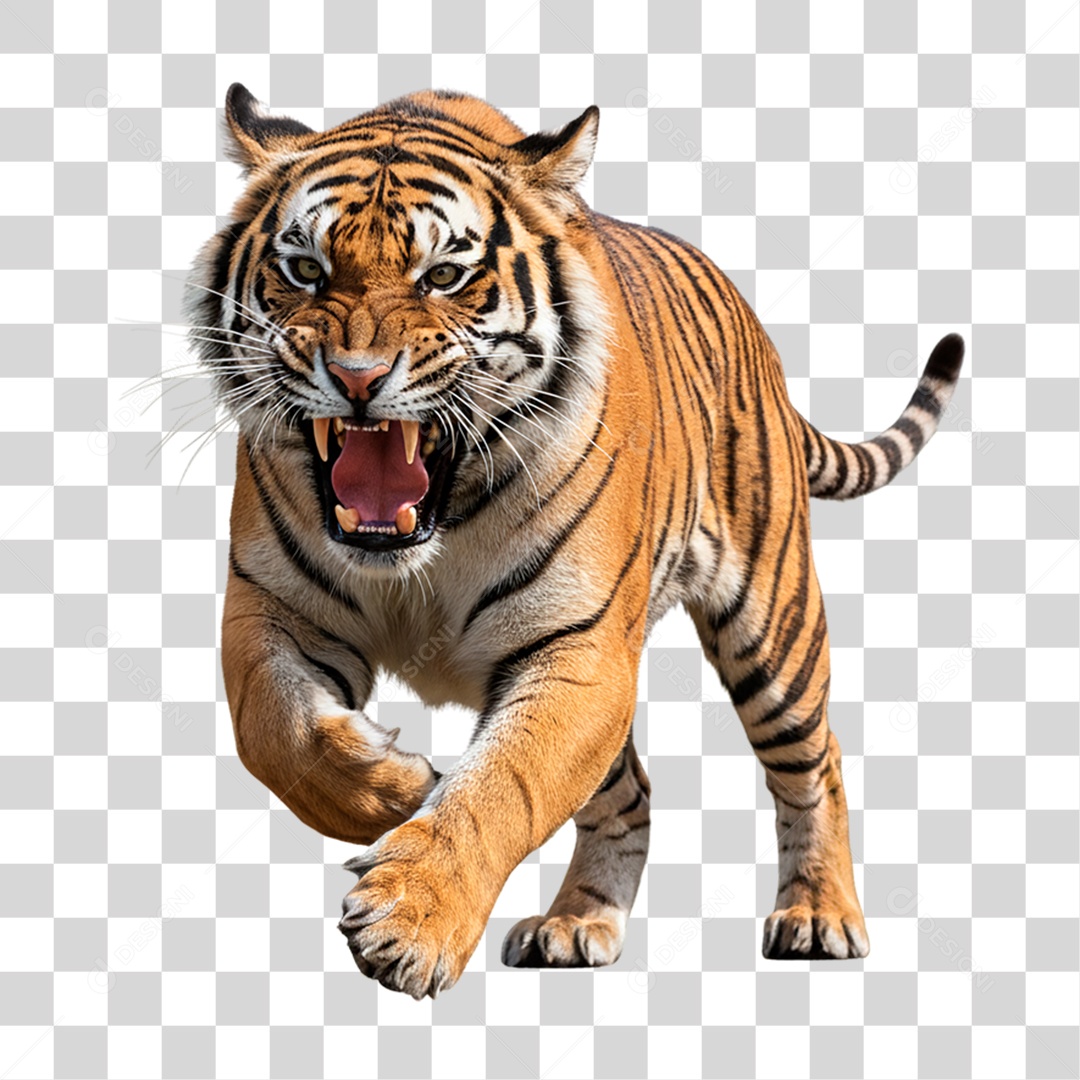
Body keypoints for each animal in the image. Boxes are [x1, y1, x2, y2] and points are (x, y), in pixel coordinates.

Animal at [187, 83, 964, 999]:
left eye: (443, 277)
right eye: (305, 269)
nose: (356, 378)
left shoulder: (578, 649)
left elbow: (504, 786)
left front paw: (411, 920)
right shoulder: (270, 605)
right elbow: (271, 730)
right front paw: (391, 787)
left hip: (774, 625)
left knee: (817, 761)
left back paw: (818, 914)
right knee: (630, 792)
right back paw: (575, 923)